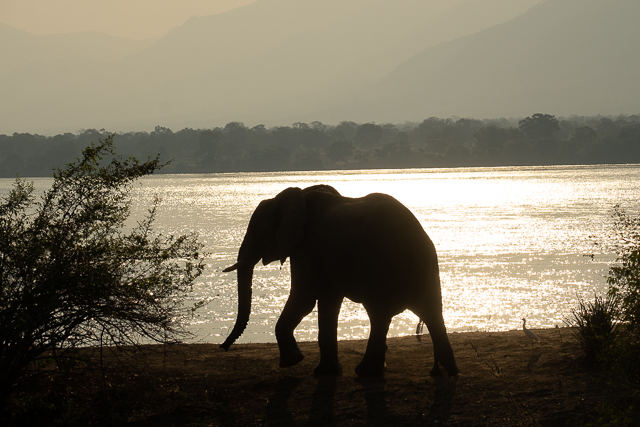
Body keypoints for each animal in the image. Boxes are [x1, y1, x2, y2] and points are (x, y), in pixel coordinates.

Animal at [221, 184, 460, 378]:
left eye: (256, 233)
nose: (223, 347)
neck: (295, 196)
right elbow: (328, 301)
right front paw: (325, 372)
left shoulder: (307, 247)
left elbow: (304, 299)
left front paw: (292, 361)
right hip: (426, 269)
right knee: (432, 313)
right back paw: (446, 373)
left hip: (379, 265)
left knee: (379, 315)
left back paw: (366, 372)